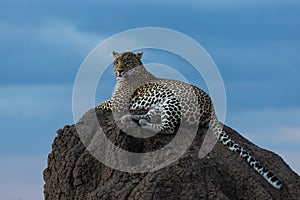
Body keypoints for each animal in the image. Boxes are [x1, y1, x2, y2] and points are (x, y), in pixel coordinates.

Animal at [96, 50, 284, 189]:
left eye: (128, 62)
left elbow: (97, 106)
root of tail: (212, 107)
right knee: (152, 118)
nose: (119, 71)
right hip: (158, 106)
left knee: (169, 127)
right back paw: (132, 118)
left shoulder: (118, 102)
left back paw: (141, 122)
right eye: (116, 61)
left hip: (172, 101)